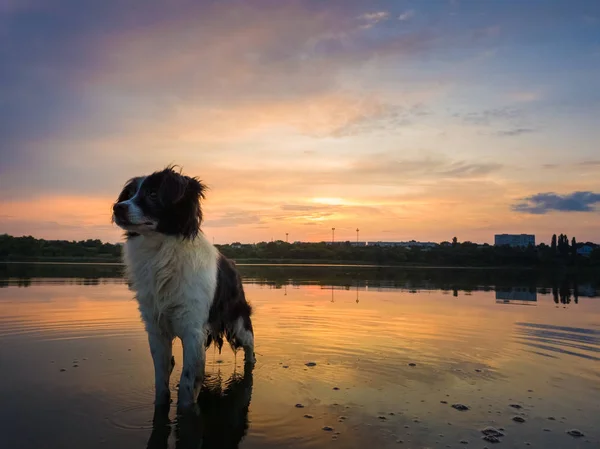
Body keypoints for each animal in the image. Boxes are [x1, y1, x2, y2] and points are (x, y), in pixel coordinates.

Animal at [111, 166, 254, 408]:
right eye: (129, 194)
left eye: (153, 194)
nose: (117, 207)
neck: (161, 251)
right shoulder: (156, 329)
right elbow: (161, 381)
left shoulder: (193, 330)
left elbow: (187, 384)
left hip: (238, 323)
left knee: (250, 346)